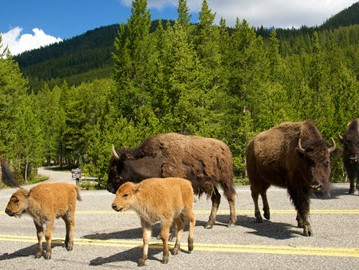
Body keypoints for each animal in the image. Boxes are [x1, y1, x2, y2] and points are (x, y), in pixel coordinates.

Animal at [108, 132, 238, 228]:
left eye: (114, 167)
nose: (109, 188)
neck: (156, 160)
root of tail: (224, 147)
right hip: (209, 183)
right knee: (216, 198)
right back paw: (209, 224)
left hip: (225, 179)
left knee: (230, 196)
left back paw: (231, 222)